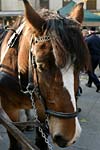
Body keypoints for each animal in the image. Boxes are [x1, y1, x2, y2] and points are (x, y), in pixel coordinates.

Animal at [0, 0, 90, 149]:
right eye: (41, 65)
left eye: (79, 67)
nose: (69, 135)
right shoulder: (9, 109)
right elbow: (14, 136)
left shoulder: (42, 109)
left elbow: (41, 139)